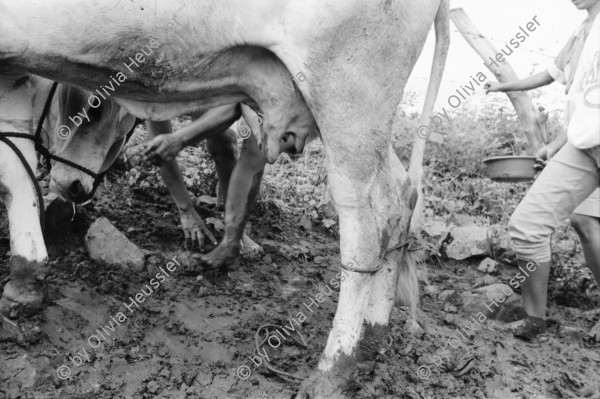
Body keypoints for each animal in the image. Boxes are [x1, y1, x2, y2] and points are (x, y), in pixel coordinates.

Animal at [0, 1, 448, 398]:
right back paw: (373, 333)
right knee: (401, 200)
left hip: (348, 93)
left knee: (369, 225)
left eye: (94, 106)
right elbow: (16, 169)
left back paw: (335, 368)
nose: (70, 186)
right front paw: (26, 277)